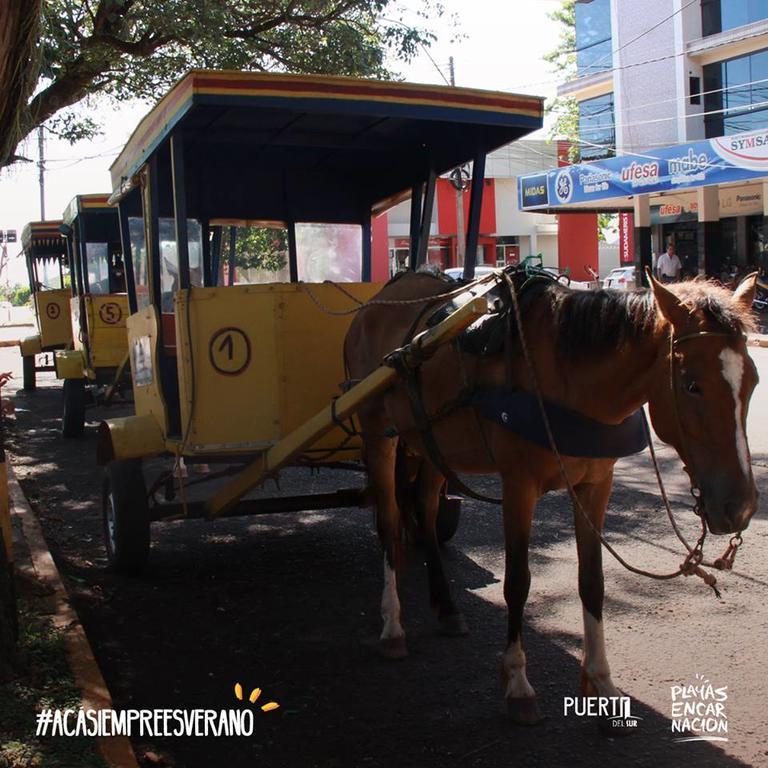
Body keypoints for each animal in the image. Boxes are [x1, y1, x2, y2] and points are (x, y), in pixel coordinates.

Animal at [344, 272, 760, 728]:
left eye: (753, 382)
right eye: (692, 385)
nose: (740, 507)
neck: (570, 376)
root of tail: (379, 298)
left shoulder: (596, 485)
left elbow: (592, 582)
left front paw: (602, 685)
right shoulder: (518, 486)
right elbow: (517, 581)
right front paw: (518, 683)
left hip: (431, 440)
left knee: (424, 507)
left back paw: (447, 605)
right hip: (377, 432)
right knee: (389, 522)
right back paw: (392, 624)